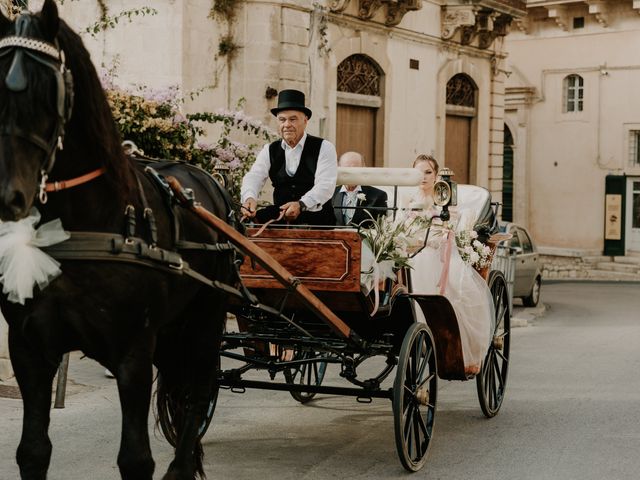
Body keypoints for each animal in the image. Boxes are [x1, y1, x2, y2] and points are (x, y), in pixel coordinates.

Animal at [0, 1, 238, 478]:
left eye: (47, 91)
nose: (8, 194)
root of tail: (212, 181)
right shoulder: (29, 349)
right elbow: (32, 451)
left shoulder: (132, 354)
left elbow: (135, 458)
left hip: (205, 321)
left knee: (200, 391)